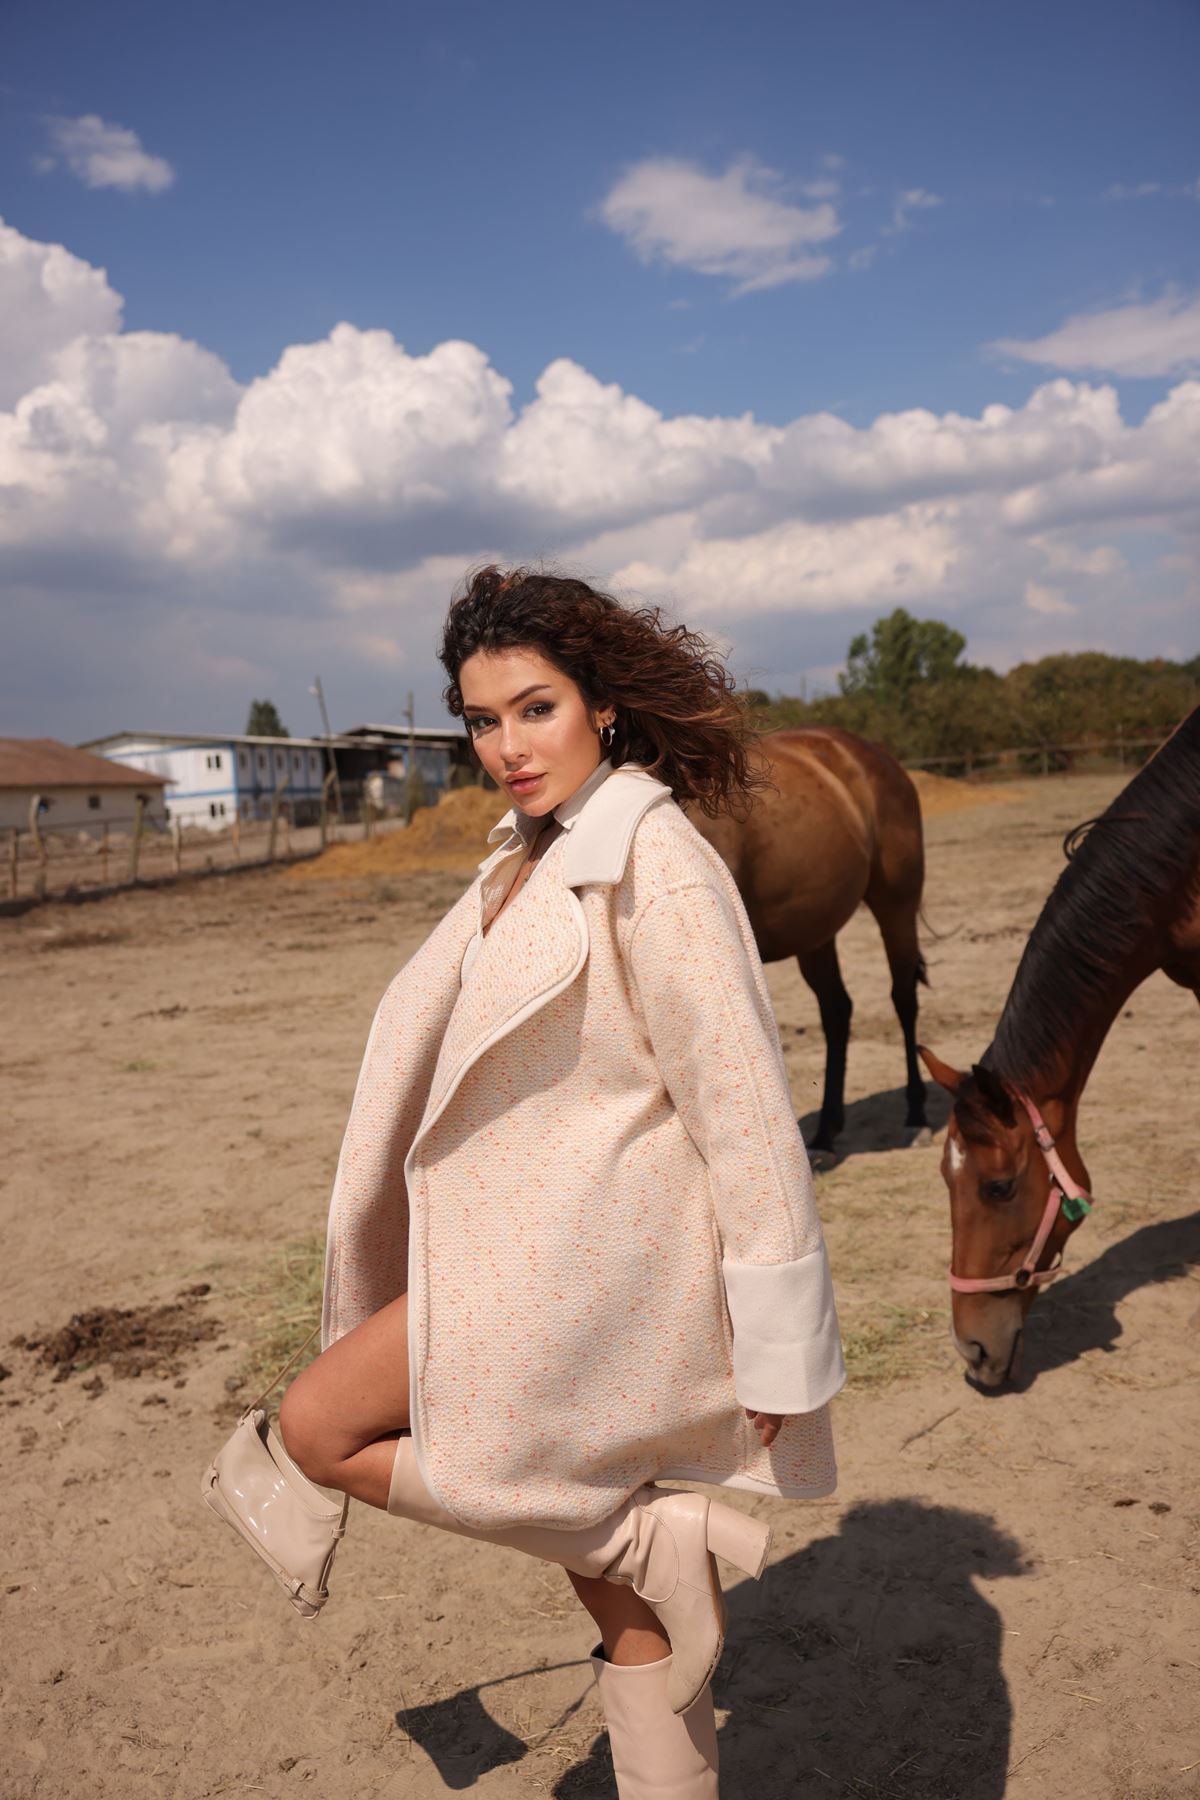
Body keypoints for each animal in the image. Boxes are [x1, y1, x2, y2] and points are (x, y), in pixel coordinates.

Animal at [686, 726, 929, 1156]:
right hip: (816, 934)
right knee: (837, 1011)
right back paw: (825, 1134)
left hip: (896, 907)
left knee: (903, 999)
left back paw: (916, 1116)